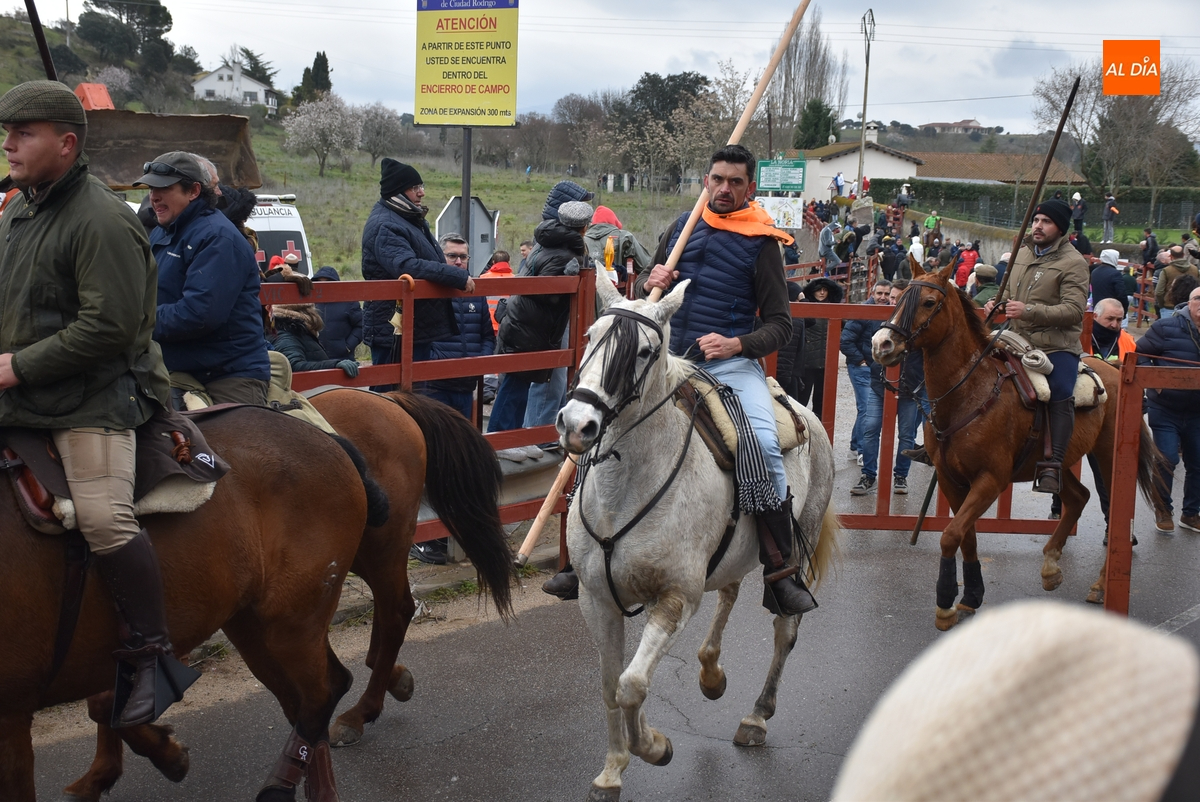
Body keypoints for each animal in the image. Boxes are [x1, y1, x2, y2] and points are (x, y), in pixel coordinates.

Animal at [1, 406, 391, 802]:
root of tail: (324, 435)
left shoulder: (11, 713)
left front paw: (160, 755)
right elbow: (106, 706)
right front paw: (161, 755)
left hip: (292, 622)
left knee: (320, 694)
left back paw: (281, 783)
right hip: (252, 625)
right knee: (310, 695)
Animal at [62, 390, 516, 800]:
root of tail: (388, 400)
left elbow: (107, 702)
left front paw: (150, 760)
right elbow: (105, 702)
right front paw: (100, 774)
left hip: (379, 548)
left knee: (395, 613)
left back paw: (360, 712)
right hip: (349, 558)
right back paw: (388, 681)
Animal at [556, 274, 840, 802]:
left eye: (644, 351)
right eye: (589, 336)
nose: (577, 424)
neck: (626, 487)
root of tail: (805, 413)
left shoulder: (675, 599)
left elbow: (632, 684)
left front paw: (654, 747)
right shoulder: (596, 598)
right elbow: (610, 684)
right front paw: (612, 770)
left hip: (798, 547)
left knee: (785, 630)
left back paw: (756, 717)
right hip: (733, 556)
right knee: (728, 592)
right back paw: (710, 673)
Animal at [870, 258, 1165, 631]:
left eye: (928, 302)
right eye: (898, 299)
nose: (882, 345)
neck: (968, 392)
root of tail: (1114, 372)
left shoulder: (990, 481)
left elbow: (950, 535)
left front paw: (946, 604)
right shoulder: (952, 480)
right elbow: (965, 535)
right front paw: (971, 596)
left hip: (1109, 458)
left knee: (1111, 513)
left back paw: (1100, 585)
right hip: (1055, 462)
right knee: (1078, 497)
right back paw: (1051, 567)